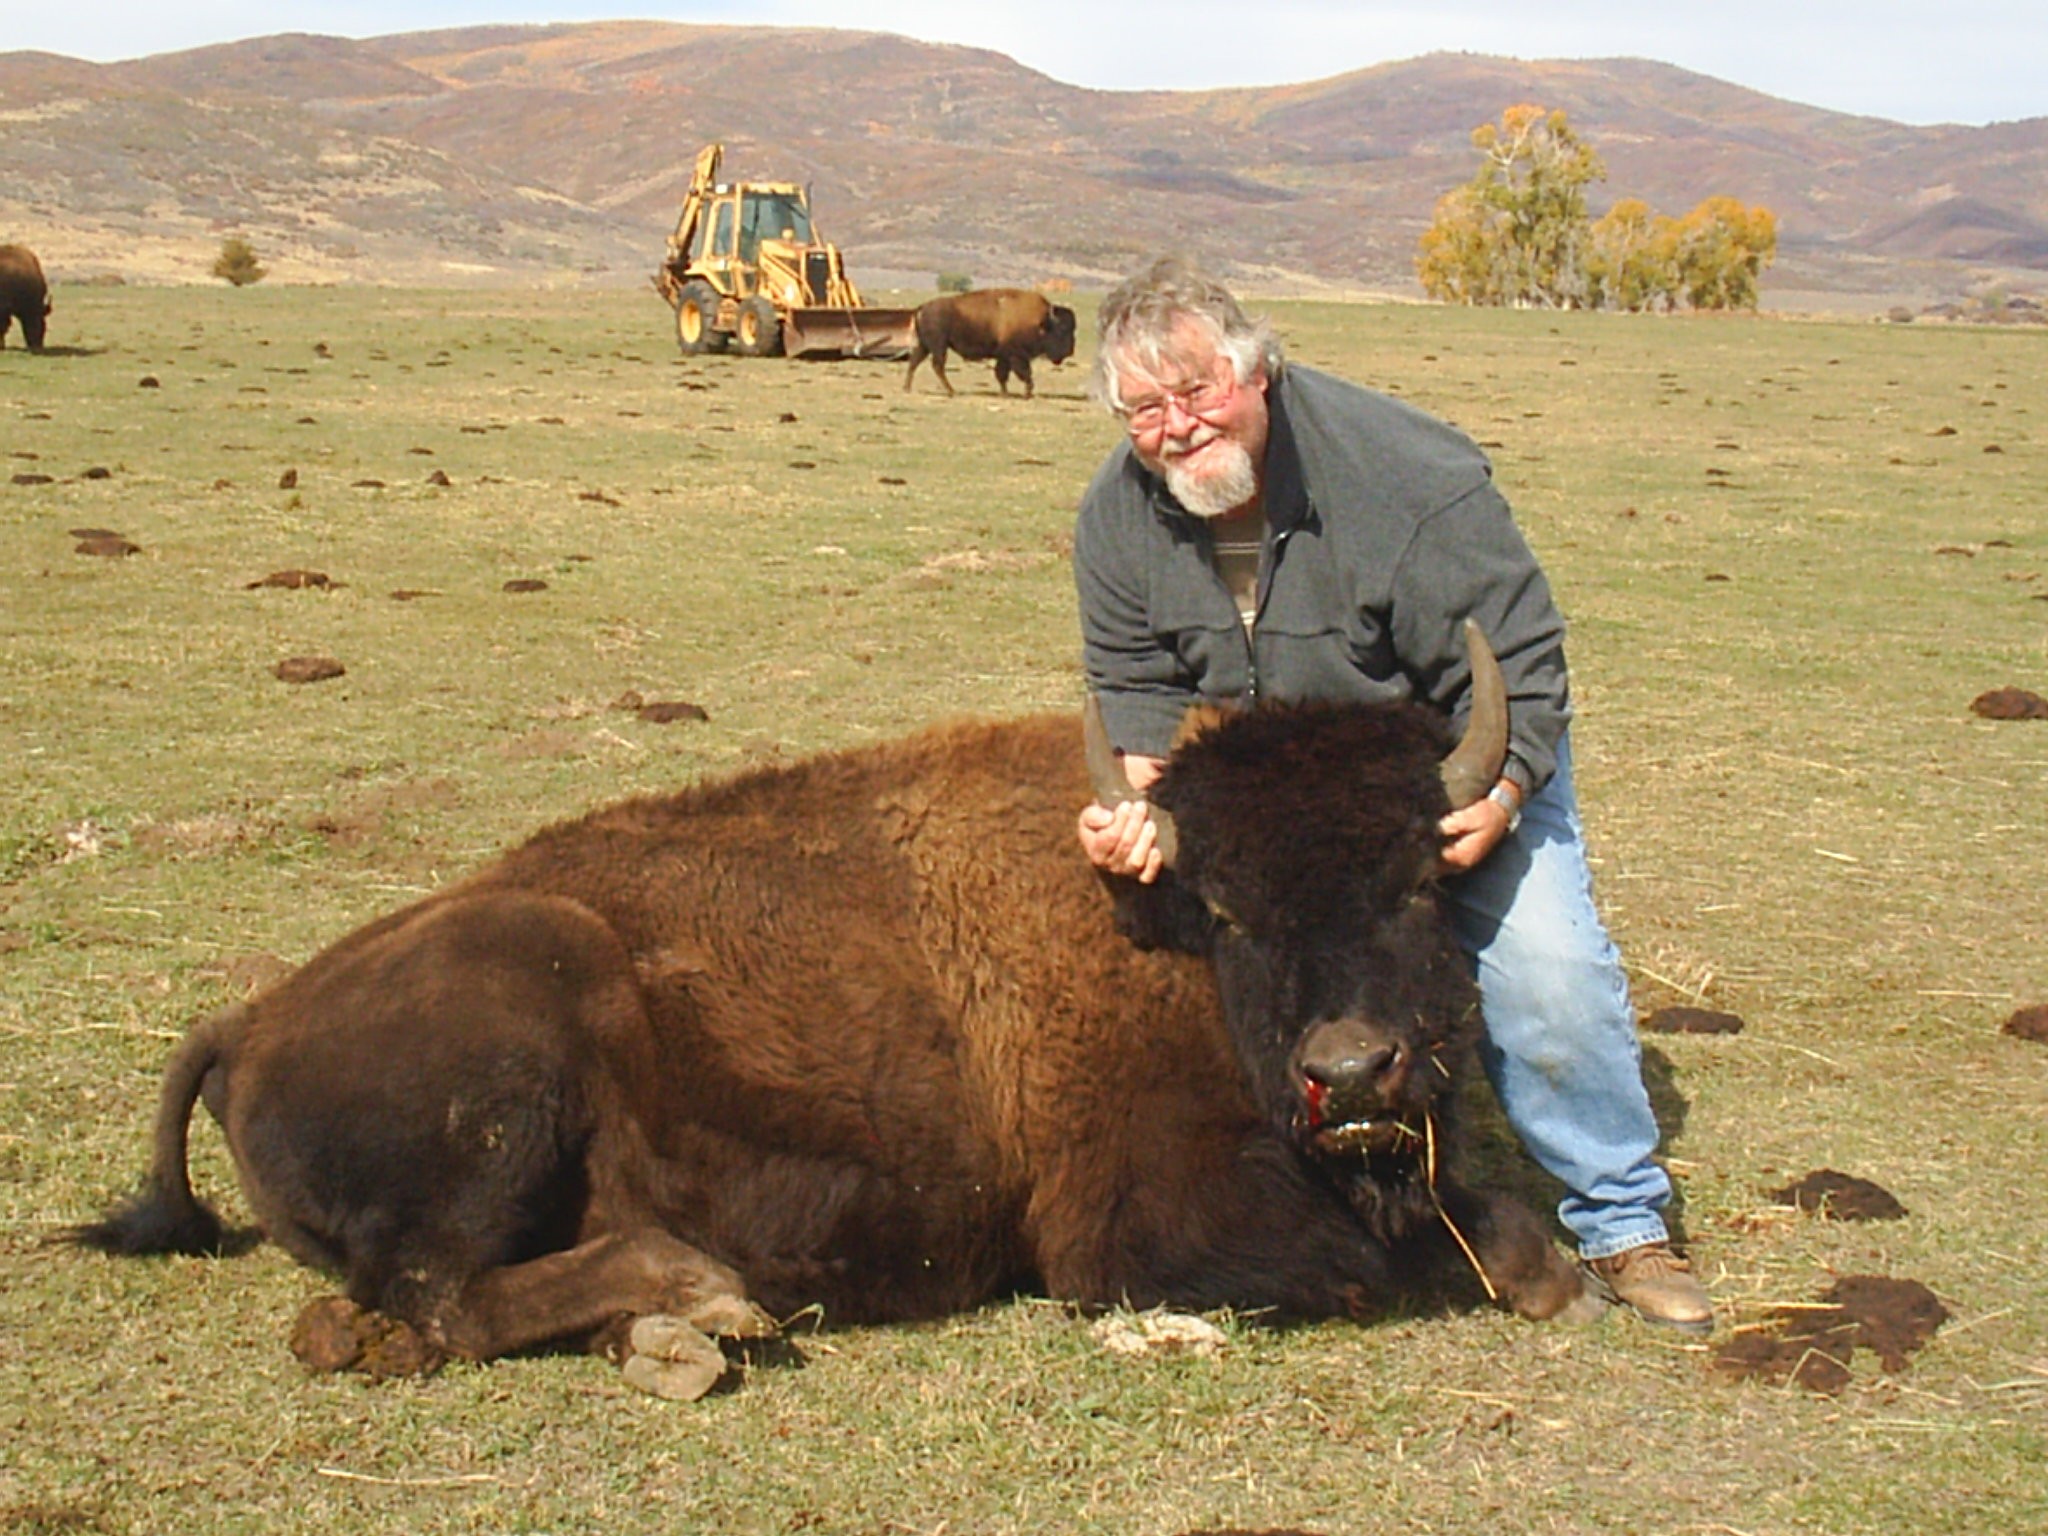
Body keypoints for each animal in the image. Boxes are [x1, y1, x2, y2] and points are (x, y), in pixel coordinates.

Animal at [72, 625, 1587, 1398]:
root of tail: (250, 1021)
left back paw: (676, 1337)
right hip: (523, 1042)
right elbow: (1434, 1253)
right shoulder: (1134, 1228)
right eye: (1225, 908)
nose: (1355, 1069)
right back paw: (703, 1300)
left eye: (1417, 875)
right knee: (428, 1299)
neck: (1150, 929)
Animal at [904, 287, 1077, 398]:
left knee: (914, 362)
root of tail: (922, 308)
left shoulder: (1004, 356)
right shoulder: (1017, 356)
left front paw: (1005, 393)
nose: (1070, 351)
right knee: (937, 366)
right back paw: (951, 392)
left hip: (925, 346)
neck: (1042, 322)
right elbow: (1023, 373)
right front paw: (1027, 392)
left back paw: (907, 388)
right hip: (939, 346)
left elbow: (1002, 374)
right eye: (1062, 330)